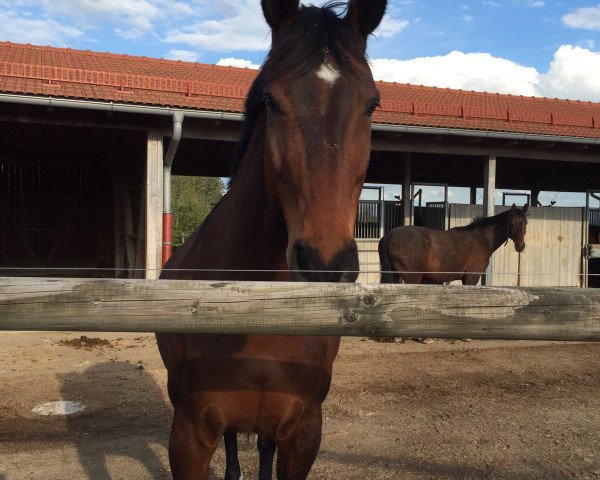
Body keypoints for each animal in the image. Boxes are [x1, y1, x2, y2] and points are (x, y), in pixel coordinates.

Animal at [380, 203, 528, 284]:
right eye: (511, 223)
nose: (520, 246)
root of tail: (387, 236)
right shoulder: (471, 277)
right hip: (413, 278)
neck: (481, 239)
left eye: (525, 222)